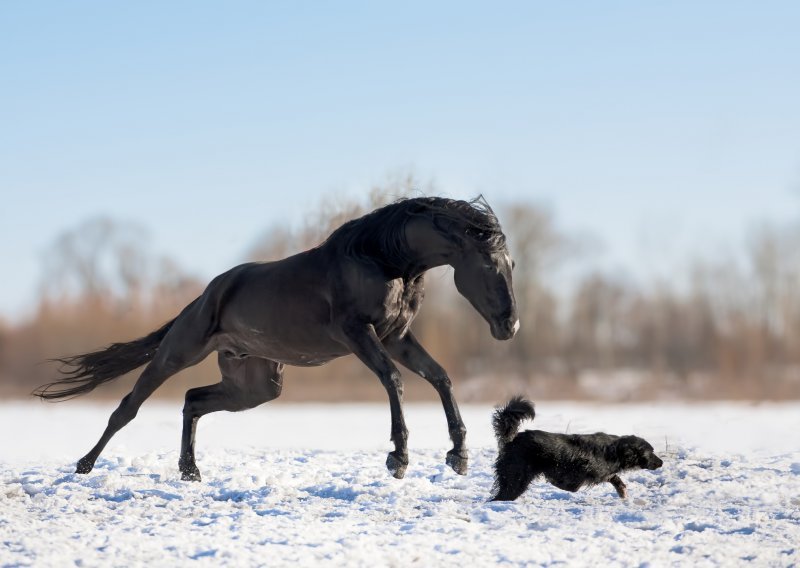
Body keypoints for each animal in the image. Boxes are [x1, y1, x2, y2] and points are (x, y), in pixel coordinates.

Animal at [36, 195, 520, 480]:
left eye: (511, 265)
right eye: (490, 265)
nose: (509, 326)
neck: (382, 259)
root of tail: (205, 295)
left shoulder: (396, 336)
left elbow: (440, 377)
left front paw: (458, 454)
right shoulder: (357, 333)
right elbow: (394, 381)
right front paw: (398, 458)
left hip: (256, 385)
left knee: (193, 401)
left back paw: (190, 471)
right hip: (177, 354)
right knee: (128, 407)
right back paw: (84, 464)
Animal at [490, 398, 664, 500]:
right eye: (651, 452)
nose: (661, 462)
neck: (616, 450)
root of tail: (512, 439)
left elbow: (615, 478)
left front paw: (622, 492)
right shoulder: (590, 472)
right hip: (517, 478)